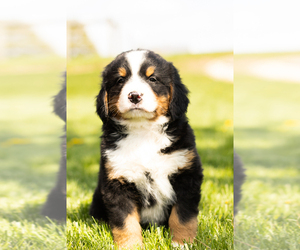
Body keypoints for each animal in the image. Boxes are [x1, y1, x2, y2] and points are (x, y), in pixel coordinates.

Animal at [89, 48, 202, 248]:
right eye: (120, 80)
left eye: (153, 79)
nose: (134, 95)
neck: (143, 131)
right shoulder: (117, 182)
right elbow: (125, 222)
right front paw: (130, 246)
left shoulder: (186, 175)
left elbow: (183, 217)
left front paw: (182, 243)